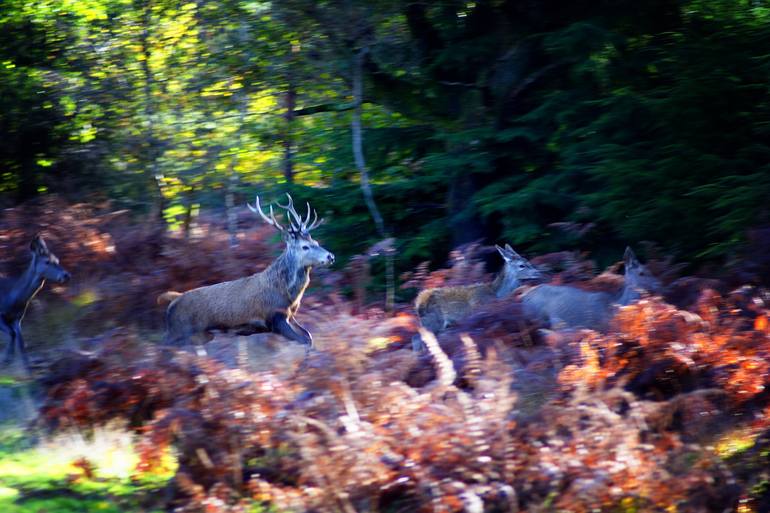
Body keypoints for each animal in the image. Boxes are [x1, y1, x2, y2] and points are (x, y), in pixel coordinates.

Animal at [0, 234, 70, 370]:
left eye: (57, 260)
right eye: (47, 261)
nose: (66, 275)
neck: (12, 298)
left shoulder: (17, 319)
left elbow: (22, 345)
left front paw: (27, 369)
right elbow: (12, 335)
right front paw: (6, 360)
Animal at [157, 194, 332, 350]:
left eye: (316, 242)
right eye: (305, 246)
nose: (330, 256)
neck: (288, 294)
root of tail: (173, 301)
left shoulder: (290, 316)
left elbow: (309, 337)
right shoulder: (274, 318)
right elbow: (304, 341)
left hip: (200, 334)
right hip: (179, 329)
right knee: (163, 346)